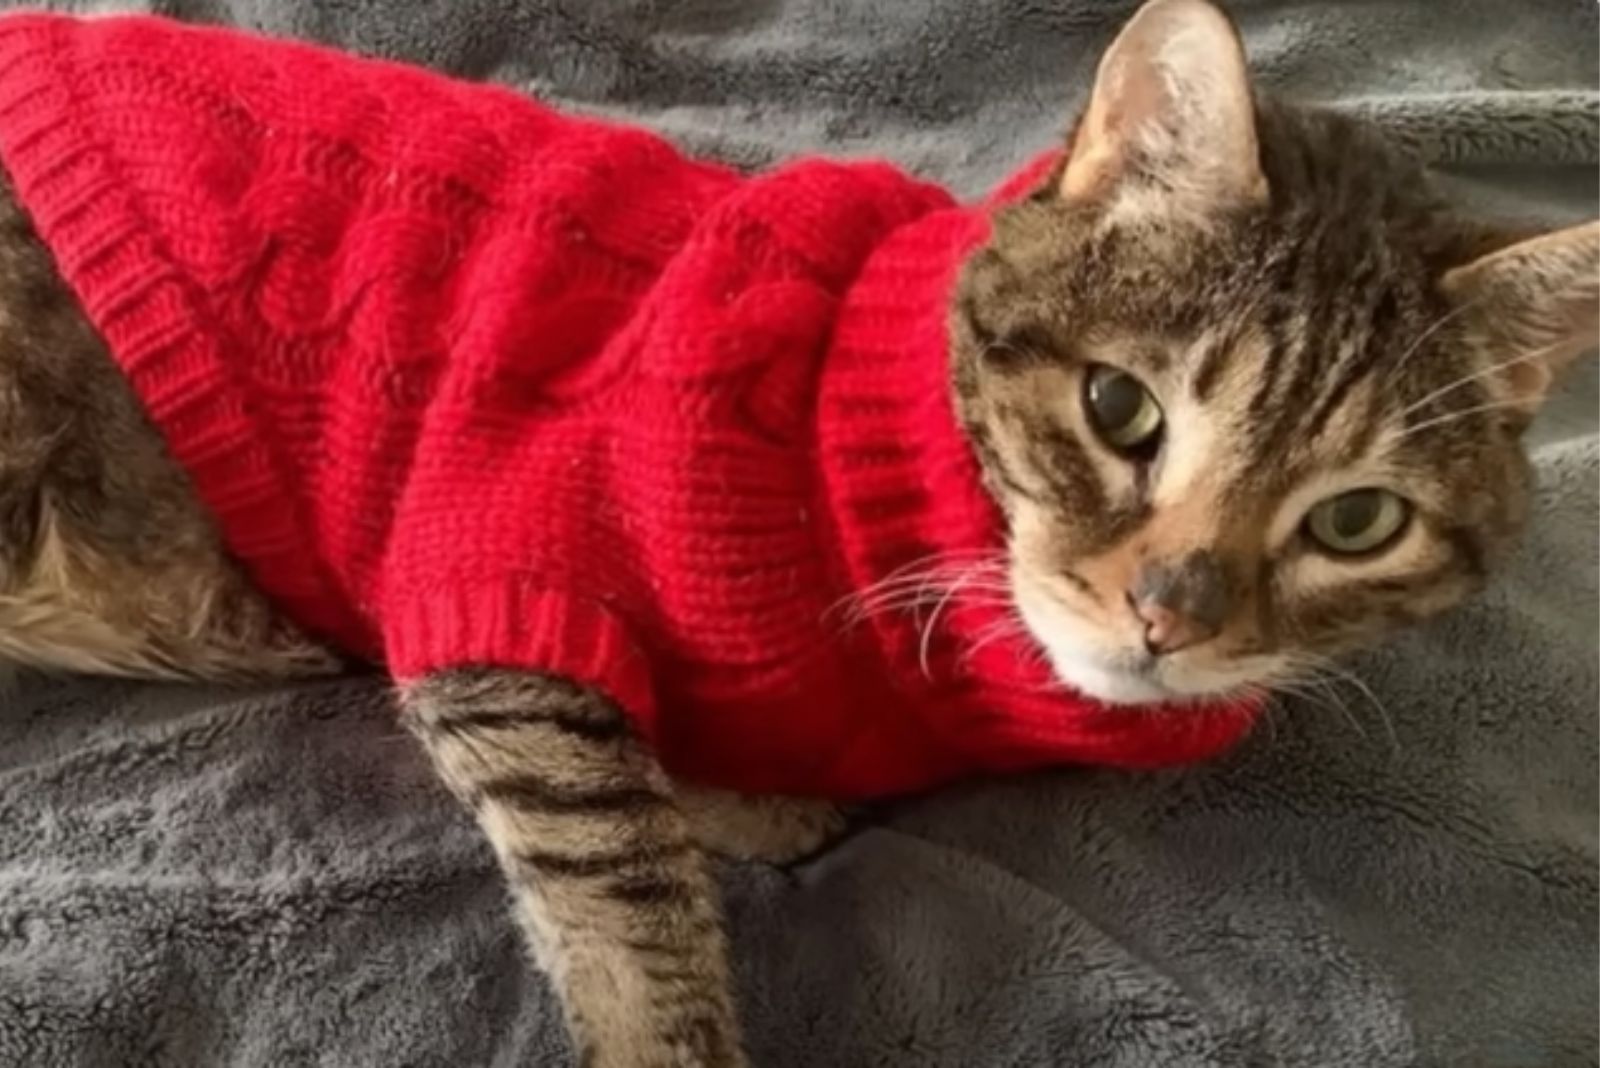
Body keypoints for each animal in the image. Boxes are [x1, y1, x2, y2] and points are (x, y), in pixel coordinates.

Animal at [0, 2, 1593, 1068]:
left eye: (1357, 519)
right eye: (1120, 409)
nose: (1169, 614)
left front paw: (753, 788)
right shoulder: (489, 577)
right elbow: (621, 889)